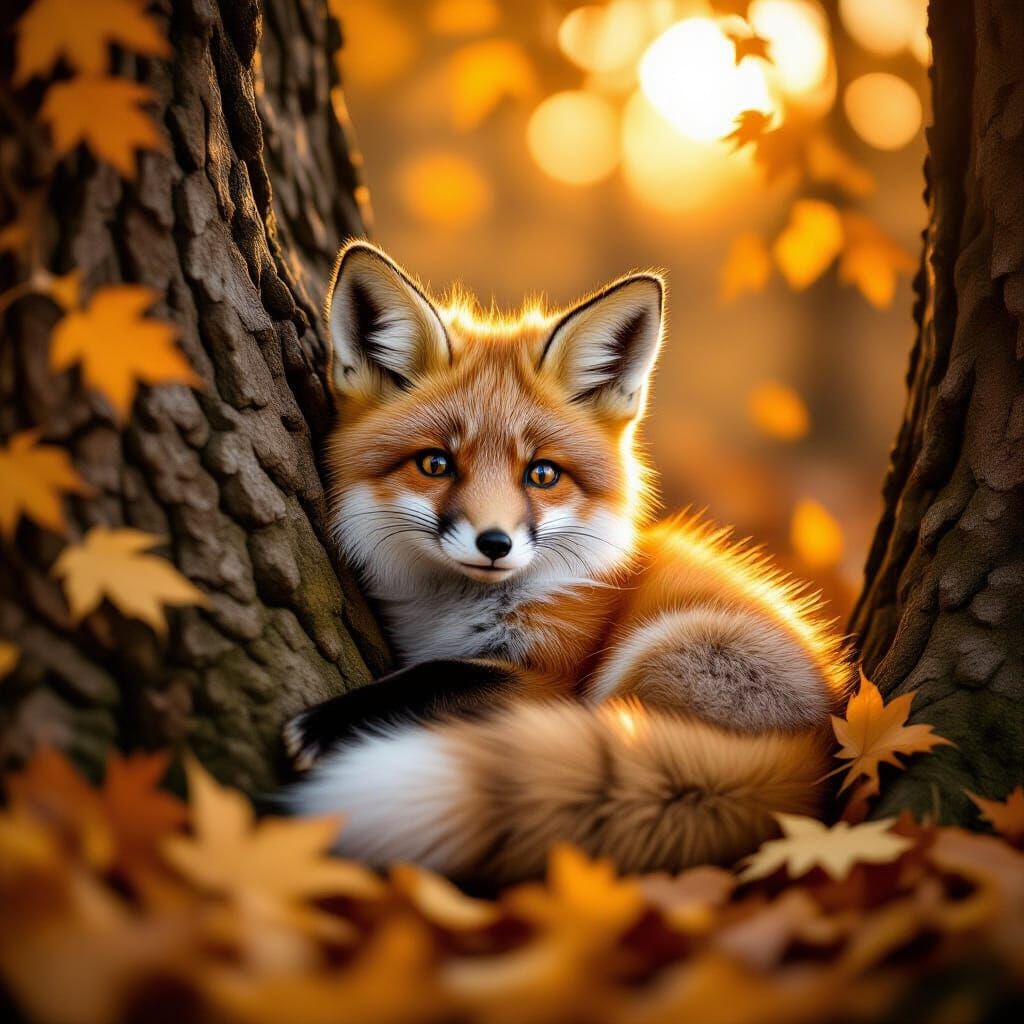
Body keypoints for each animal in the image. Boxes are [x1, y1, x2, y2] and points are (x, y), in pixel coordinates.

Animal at [283, 240, 852, 884]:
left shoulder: (548, 677)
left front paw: (334, 721)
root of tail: (820, 751)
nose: (494, 543)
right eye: (435, 464)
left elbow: (440, 675)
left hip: (653, 655)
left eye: (543, 474)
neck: (453, 610)